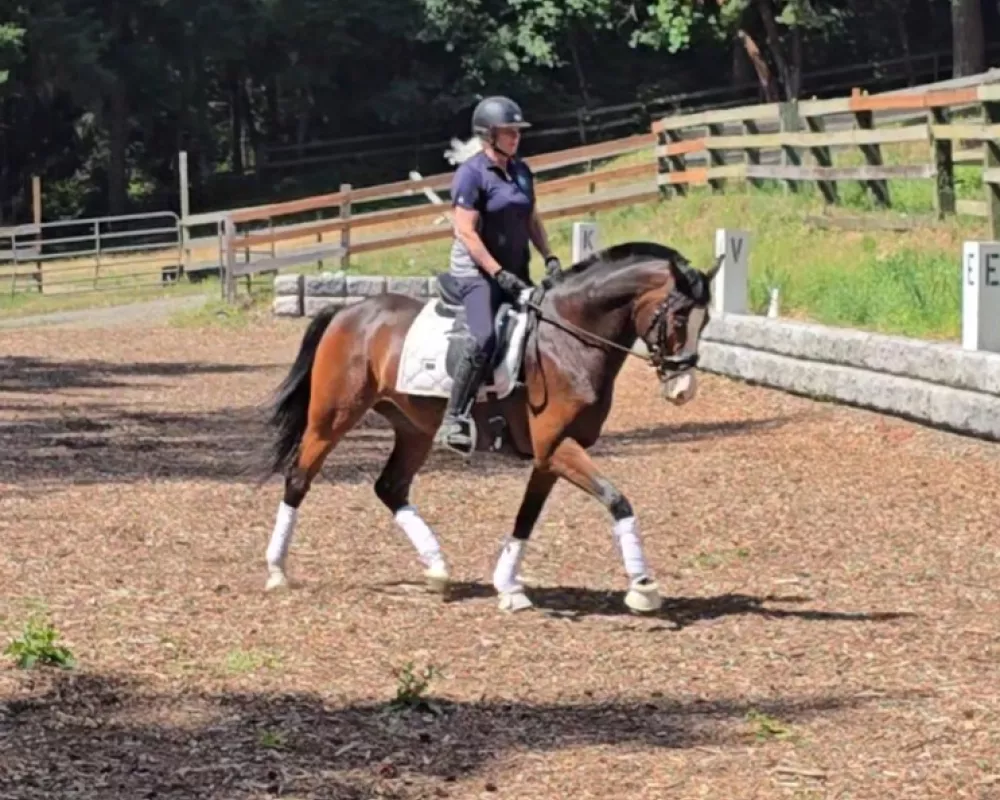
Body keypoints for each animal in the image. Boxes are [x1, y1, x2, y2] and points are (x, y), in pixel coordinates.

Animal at [260, 241, 720, 616]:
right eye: (681, 316)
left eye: (706, 320)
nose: (683, 389)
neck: (569, 340)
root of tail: (349, 311)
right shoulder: (557, 446)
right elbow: (616, 499)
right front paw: (643, 586)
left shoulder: (549, 454)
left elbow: (526, 517)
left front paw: (509, 587)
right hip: (332, 418)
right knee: (299, 478)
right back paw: (277, 570)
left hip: (414, 429)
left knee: (390, 487)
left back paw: (438, 569)